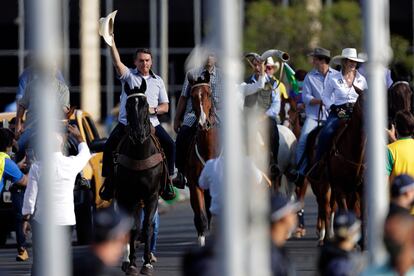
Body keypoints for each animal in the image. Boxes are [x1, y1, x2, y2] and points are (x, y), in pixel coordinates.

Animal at [115, 81, 165, 274]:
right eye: (128, 106)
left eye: (145, 105)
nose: (138, 135)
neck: (139, 155)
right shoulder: (128, 196)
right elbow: (132, 228)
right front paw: (131, 263)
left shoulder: (151, 195)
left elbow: (148, 226)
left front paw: (147, 263)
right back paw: (126, 259)